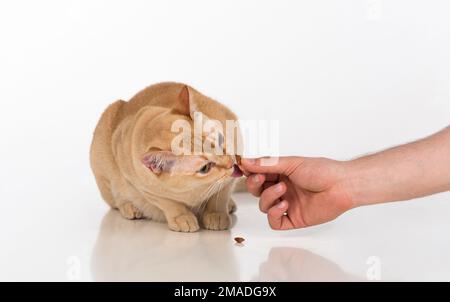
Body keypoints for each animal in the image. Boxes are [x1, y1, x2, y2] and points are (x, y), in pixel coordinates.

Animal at [89, 81, 243, 232]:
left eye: (220, 139)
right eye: (205, 168)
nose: (231, 163)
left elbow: (220, 196)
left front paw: (216, 214)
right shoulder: (142, 187)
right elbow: (169, 203)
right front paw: (182, 217)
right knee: (117, 201)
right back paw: (130, 208)